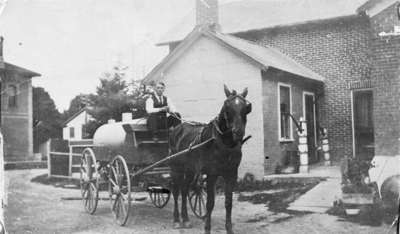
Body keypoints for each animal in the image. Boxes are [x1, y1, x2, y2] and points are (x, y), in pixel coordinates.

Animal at [169, 84, 253, 234]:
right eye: (227, 106)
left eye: (247, 107)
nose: (238, 132)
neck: (224, 143)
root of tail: (177, 128)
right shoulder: (211, 174)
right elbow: (209, 204)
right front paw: (207, 228)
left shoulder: (231, 174)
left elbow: (228, 203)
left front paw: (229, 229)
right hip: (176, 167)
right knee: (176, 190)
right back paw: (177, 220)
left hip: (190, 169)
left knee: (184, 189)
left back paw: (186, 219)